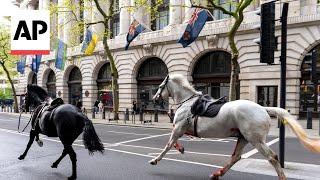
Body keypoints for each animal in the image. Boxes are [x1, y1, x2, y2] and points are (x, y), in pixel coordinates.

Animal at [149, 74, 320, 179]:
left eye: (160, 86)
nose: (154, 98)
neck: (188, 102)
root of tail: (263, 109)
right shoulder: (182, 129)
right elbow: (173, 142)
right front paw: (181, 148)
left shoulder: (179, 128)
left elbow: (168, 144)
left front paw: (155, 160)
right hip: (243, 137)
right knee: (236, 157)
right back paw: (217, 174)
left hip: (255, 140)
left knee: (272, 157)